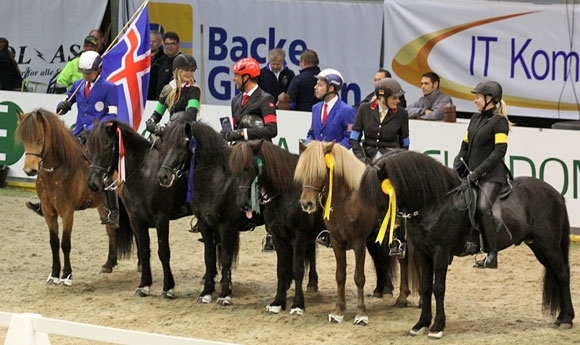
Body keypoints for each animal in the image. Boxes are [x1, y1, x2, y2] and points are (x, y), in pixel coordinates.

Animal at [14, 108, 133, 284]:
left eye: (39, 139)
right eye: (24, 140)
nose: (30, 170)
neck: (58, 170)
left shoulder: (67, 212)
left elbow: (65, 243)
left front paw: (66, 275)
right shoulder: (49, 212)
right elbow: (54, 242)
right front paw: (54, 274)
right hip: (102, 207)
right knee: (112, 230)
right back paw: (108, 264)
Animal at [85, 119, 189, 296]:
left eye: (107, 144)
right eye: (90, 147)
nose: (93, 183)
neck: (145, 174)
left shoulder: (161, 219)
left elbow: (163, 252)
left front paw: (168, 287)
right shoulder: (137, 220)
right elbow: (145, 250)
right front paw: (144, 285)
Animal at [294, 140, 416, 326]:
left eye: (320, 171)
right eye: (303, 171)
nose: (306, 204)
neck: (348, 199)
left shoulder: (359, 243)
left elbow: (359, 277)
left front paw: (360, 314)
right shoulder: (337, 242)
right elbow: (340, 275)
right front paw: (338, 311)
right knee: (402, 260)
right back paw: (402, 297)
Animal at [360, 149, 572, 338]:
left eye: (378, 191)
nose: (375, 226)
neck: (435, 203)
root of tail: (556, 193)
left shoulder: (440, 253)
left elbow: (438, 288)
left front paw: (437, 327)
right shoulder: (423, 252)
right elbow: (426, 286)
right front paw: (421, 324)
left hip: (549, 244)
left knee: (562, 274)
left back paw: (567, 319)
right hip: (537, 246)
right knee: (556, 273)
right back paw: (561, 317)